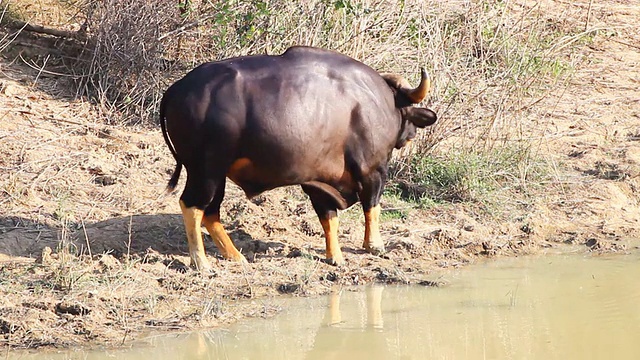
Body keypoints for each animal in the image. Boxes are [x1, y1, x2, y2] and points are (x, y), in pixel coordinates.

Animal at [162, 45, 438, 270]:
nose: (411, 134)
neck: (377, 102)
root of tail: (176, 89)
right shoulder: (373, 170)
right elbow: (372, 207)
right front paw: (375, 245)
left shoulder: (319, 181)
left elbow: (329, 219)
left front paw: (334, 256)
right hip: (206, 170)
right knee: (192, 205)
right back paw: (201, 262)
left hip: (216, 174)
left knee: (211, 212)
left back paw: (234, 256)